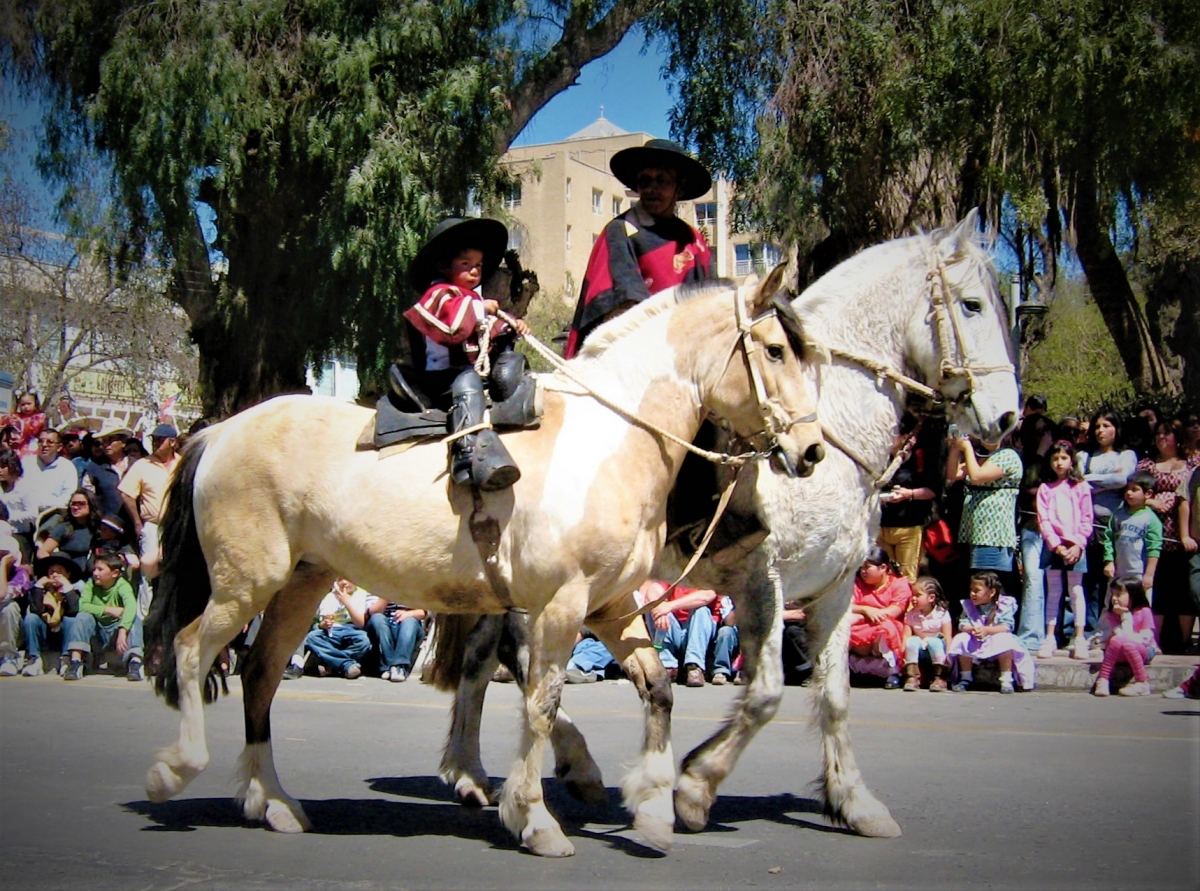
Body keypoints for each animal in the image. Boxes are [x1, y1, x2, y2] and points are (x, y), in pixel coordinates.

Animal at [142, 272, 825, 859]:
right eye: (773, 350)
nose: (812, 449)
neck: (610, 440)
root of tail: (220, 432)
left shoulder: (610, 606)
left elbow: (656, 689)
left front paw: (656, 808)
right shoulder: (561, 605)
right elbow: (541, 704)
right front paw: (535, 818)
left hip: (300, 586)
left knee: (259, 675)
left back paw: (274, 802)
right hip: (246, 583)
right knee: (190, 649)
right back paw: (175, 770)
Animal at [436, 212, 1017, 840]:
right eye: (973, 304)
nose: (1007, 417)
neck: (832, 429)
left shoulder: (835, 590)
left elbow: (834, 696)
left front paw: (855, 802)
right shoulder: (763, 580)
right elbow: (765, 693)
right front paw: (695, 787)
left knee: (482, 656)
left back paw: (470, 772)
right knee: (515, 659)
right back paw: (565, 767)